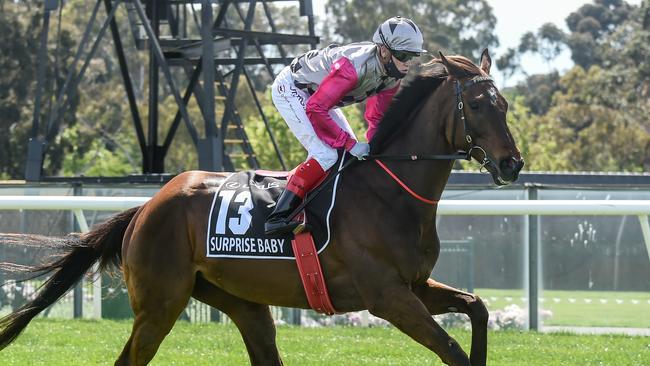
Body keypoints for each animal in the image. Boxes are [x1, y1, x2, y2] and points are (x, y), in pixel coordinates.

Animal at [0, 49, 520, 366]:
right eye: (477, 105)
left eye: (506, 105)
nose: (512, 164)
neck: (389, 193)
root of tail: (145, 208)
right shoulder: (387, 296)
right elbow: (451, 347)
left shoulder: (415, 286)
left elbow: (476, 308)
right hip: (159, 303)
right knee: (130, 357)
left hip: (239, 301)